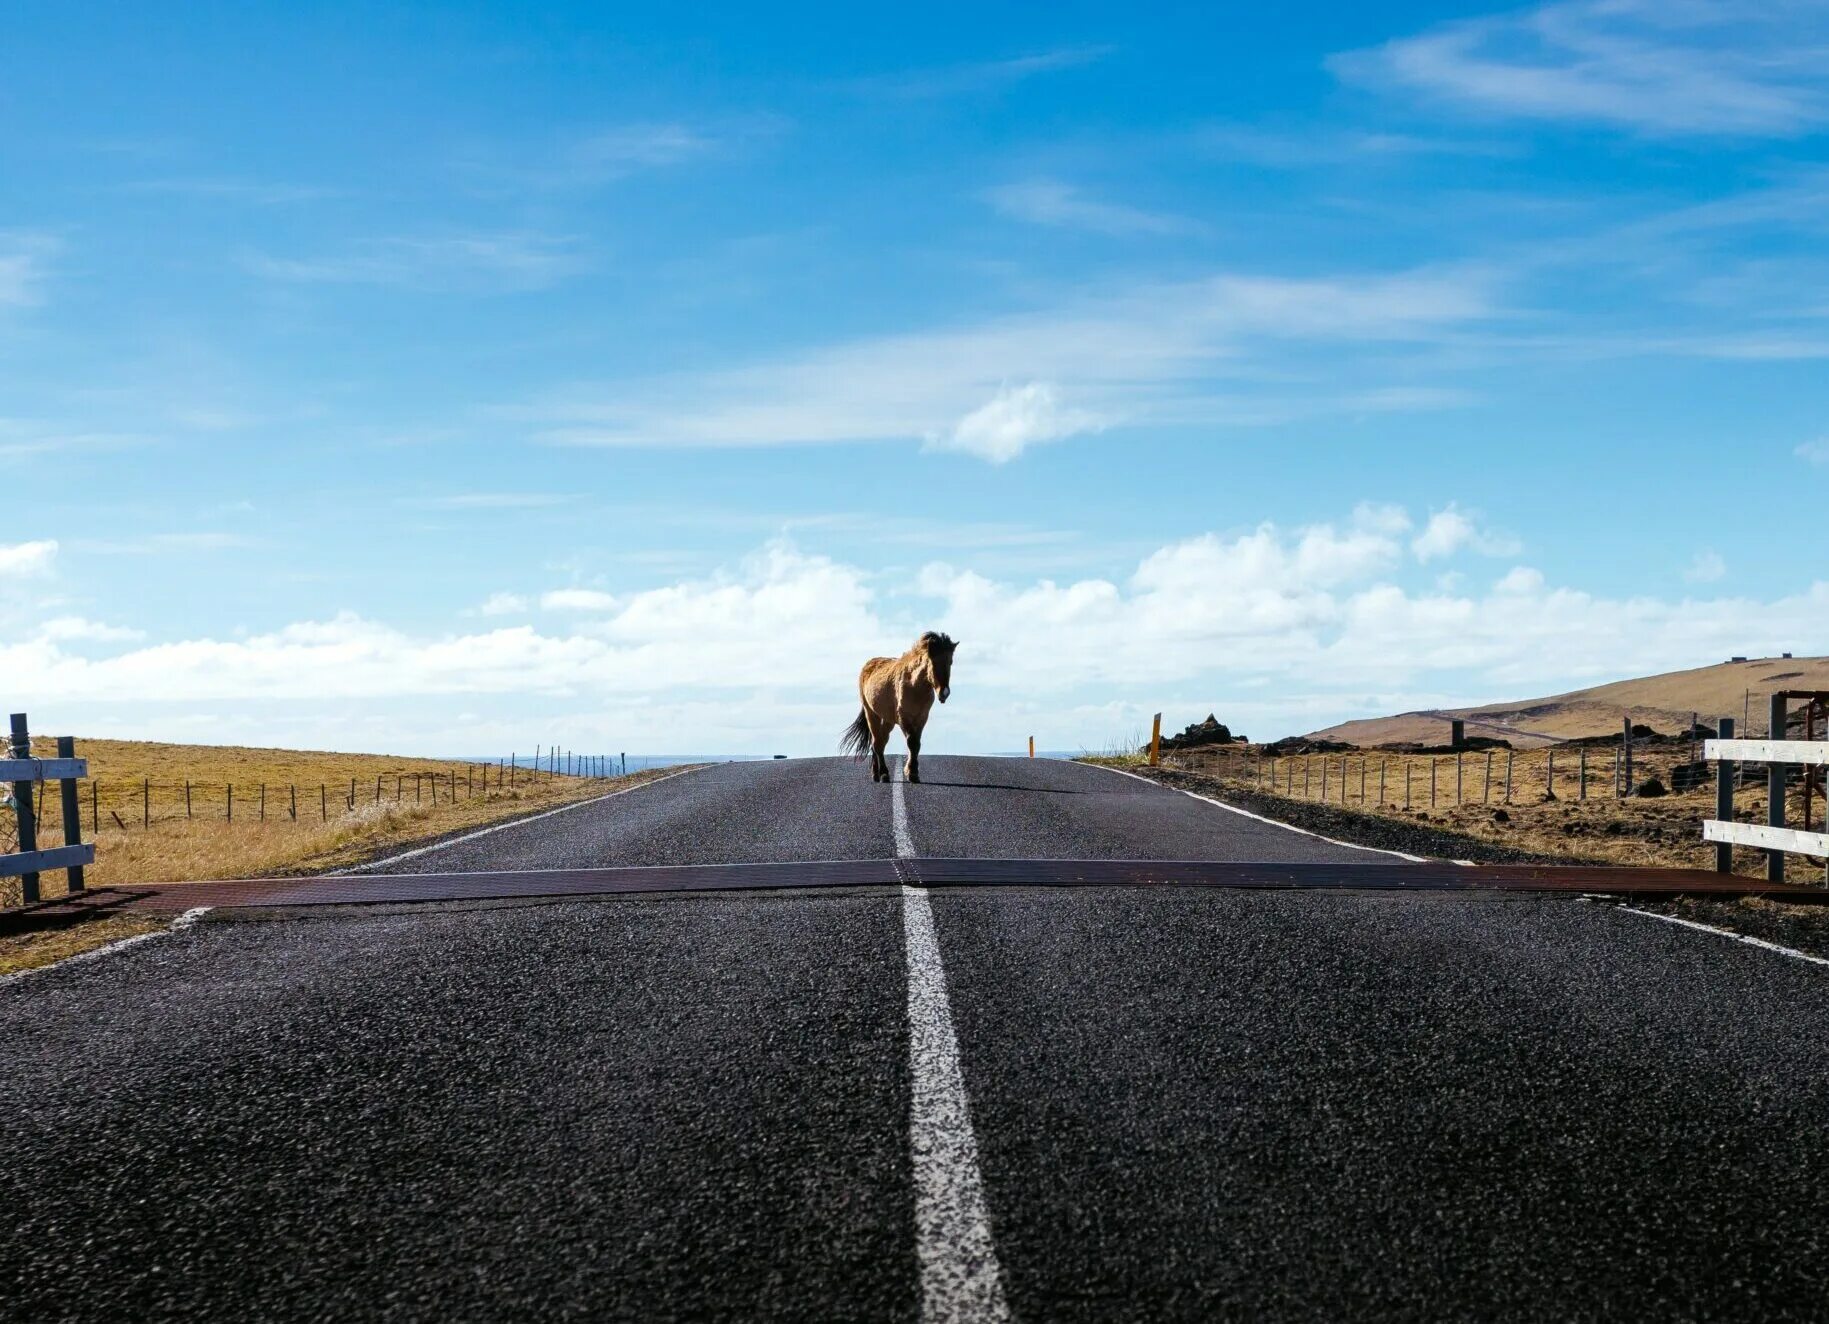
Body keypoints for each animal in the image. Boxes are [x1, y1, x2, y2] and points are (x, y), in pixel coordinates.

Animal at [837, 632, 958, 782]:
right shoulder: (904, 718)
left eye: (950, 662)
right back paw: (882, 774)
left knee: (881, 741)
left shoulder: (922, 718)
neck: (914, 685)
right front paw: (911, 773)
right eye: (933, 662)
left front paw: (913, 772)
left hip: (887, 720)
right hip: (871, 714)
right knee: (877, 743)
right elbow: (912, 742)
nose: (944, 693)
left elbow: (917, 744)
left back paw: (876, 772)